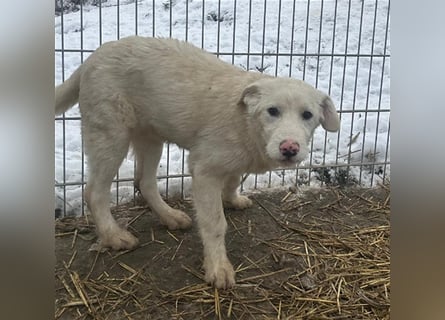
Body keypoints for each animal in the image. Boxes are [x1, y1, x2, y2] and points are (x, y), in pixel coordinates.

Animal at [56, 36, 340, 288]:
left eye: (307, 115)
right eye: (272, 111)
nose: (289, 148)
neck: (247, 123)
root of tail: (92, 57)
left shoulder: (233, 163)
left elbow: (233, 180)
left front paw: (233, 200)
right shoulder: (205, 170)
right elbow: (215, 223)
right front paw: (218, 268)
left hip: (151, 138)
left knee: (144, 182)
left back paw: (169, 216)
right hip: (111, 137)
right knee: (94, 191)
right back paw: (114, 236)